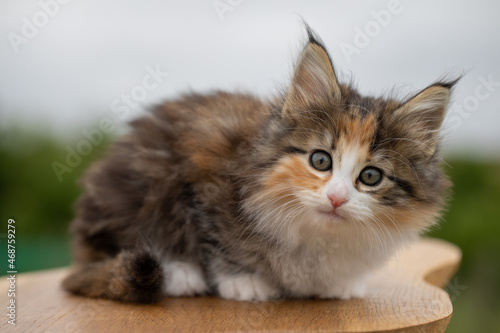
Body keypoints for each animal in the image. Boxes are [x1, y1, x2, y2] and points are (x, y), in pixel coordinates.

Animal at [61, 27, 454, 304]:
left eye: (371, 176)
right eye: (320, 160)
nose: (337, 198)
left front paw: (340, 283)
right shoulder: (203, 177)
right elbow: (216, 239)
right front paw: (244, 280)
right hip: (146, 185)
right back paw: (181, 274)